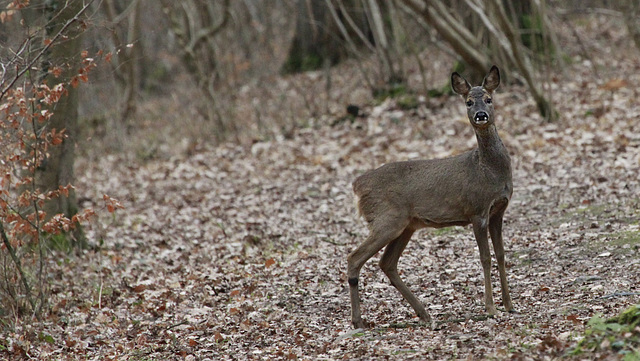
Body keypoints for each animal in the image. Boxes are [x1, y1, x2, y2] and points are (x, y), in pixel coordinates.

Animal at [348, 65, 512, 330]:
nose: (480, 115)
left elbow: (501, 255)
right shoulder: (477, 210)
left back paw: (425, 314)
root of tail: (357, 185)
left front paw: (509, 304)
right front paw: (490, 308)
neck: (489, 170)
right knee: (354, 257)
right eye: (468, 102)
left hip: (406, 226)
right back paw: (358, 321)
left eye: (489, 99)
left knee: (387, 263)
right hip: (387, 219)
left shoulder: (499, 210)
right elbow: (485, 258)